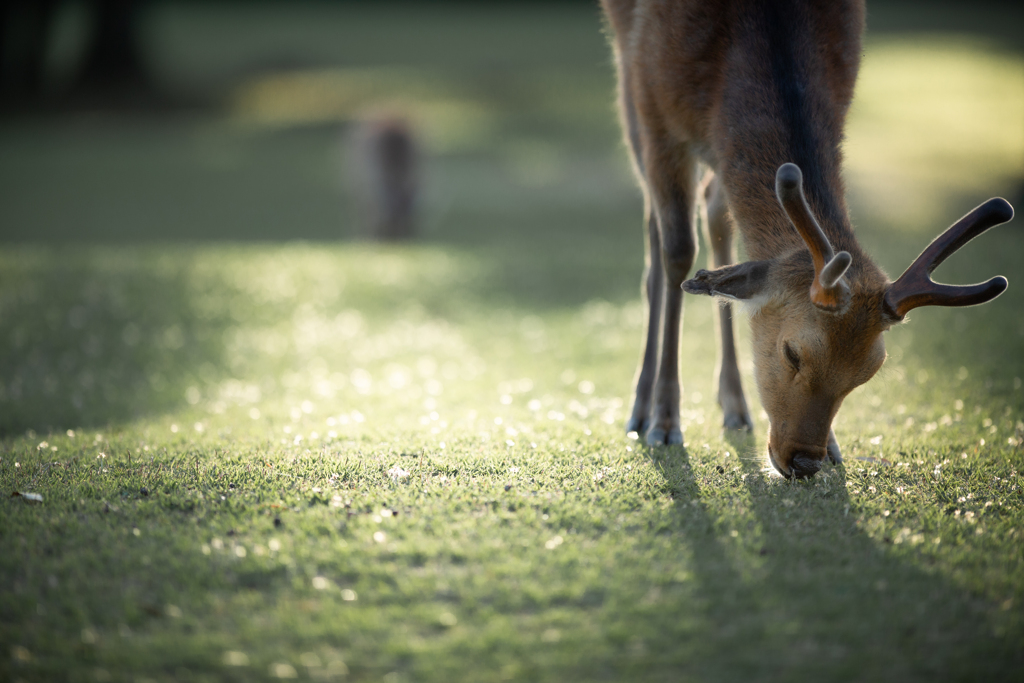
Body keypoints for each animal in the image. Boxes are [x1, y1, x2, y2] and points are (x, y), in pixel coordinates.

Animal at [602, 0, 1011, 479]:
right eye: (792, 352)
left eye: (866, 373)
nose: (804, 461)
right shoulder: (654, 104)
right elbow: (678, 251)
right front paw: (665, 421)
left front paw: (834, 445)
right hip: (629, 86)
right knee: (657, 232)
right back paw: (643, 407)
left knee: (717, 213)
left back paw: (735, 405)